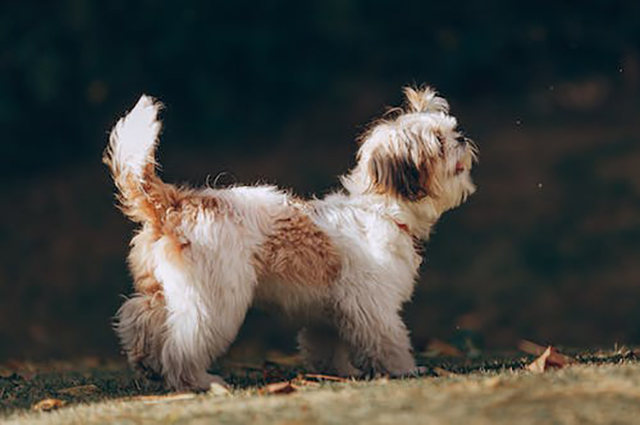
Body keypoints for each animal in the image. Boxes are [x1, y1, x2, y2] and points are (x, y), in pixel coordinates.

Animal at [104, 86, 476, 390]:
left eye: (451, 129)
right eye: (438, 142)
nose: (460, 137)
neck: (379, 209)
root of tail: (175, 203)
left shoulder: (330, 313)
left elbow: (326, 346)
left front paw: (340, 372)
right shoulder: (373, 305)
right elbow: (389, 340)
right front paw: (404, 369)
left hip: (161, 290)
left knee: (139, 317)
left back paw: (147, 364)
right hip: (212, 300)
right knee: (183, 343)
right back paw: (197, 380)